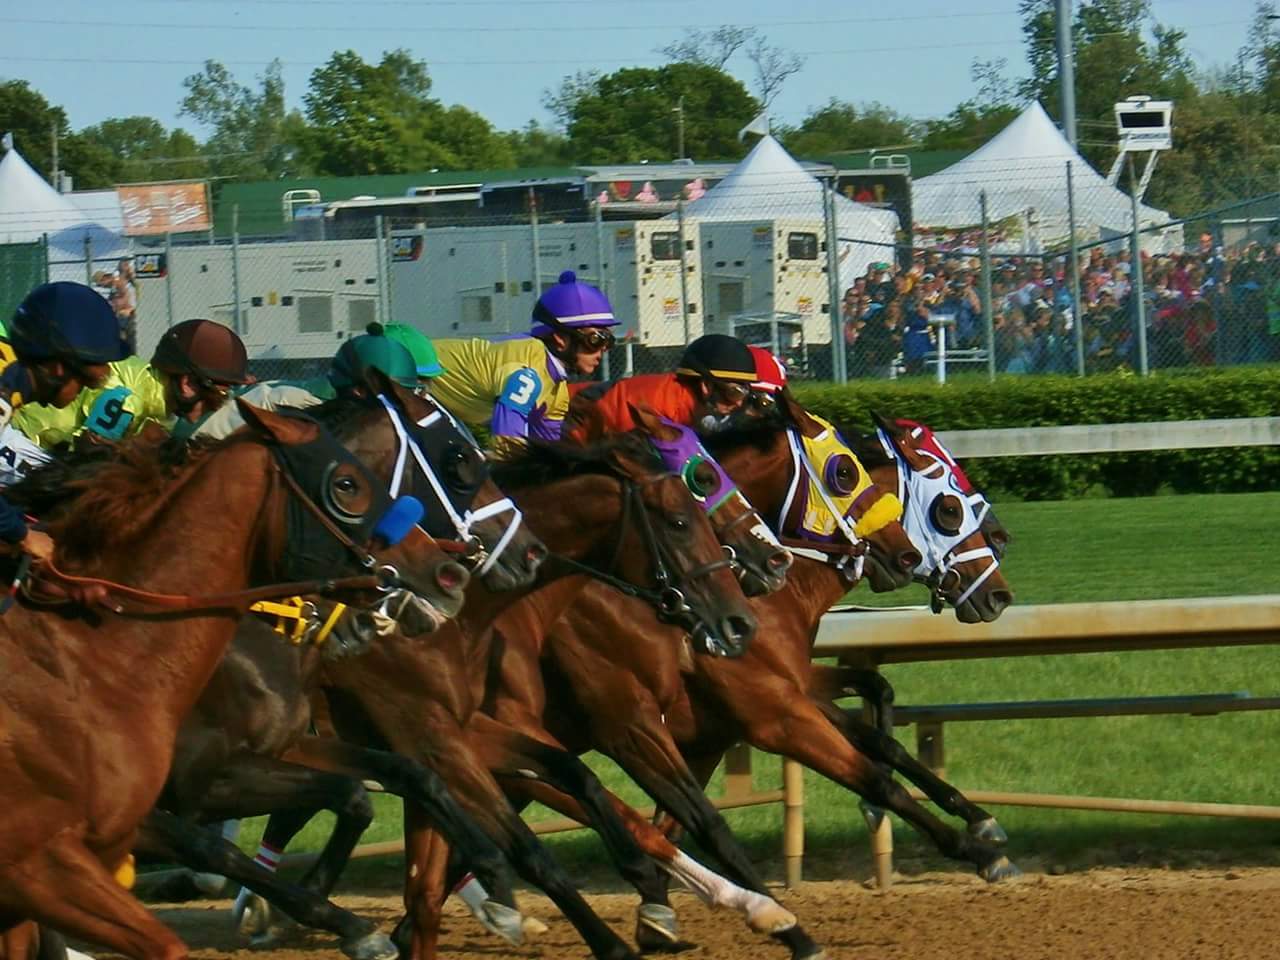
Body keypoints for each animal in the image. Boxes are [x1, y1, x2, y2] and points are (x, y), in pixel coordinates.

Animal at [0, 384, 465, 960]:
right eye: (346, 485)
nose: (448, 574)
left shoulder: (273, 750)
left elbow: (360, 792)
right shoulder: (188, 787)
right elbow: (213, 848)